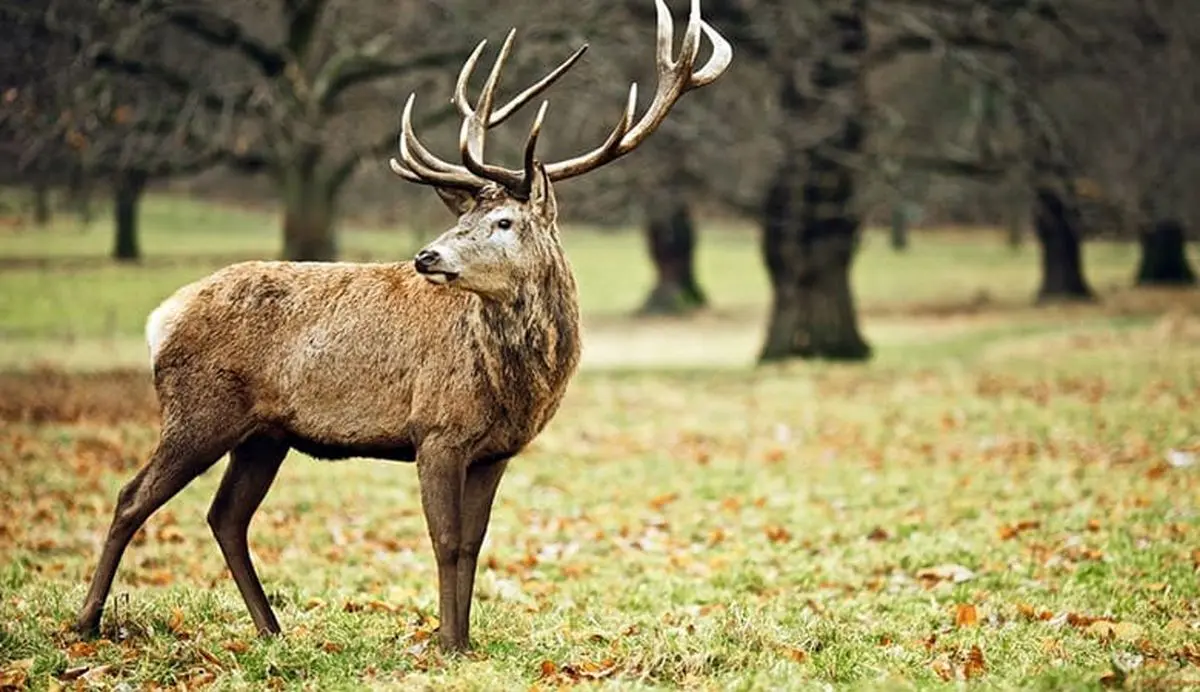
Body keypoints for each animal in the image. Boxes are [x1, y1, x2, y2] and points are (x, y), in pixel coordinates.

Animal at [75, 0, 729, 652]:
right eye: (464, 218)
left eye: (503, 222)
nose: (427, 256)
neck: (514, 388)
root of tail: (160, 318)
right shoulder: (435, 430)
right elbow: (445, 541)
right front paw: (444, 643)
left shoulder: (496, 451)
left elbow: (474, 543)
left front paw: (463, 642)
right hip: (200, 409)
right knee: (133, 496)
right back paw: (86, 623)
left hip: (264, 434)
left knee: (226, 516)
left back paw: (271, 630)